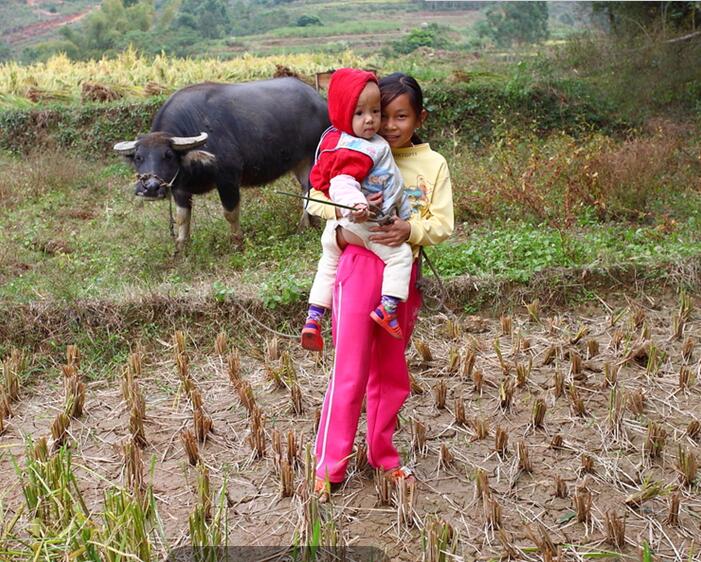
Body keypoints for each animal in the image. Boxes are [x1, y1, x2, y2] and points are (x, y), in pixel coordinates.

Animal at [115, 76, 330, 252]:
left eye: (168, 155)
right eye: (138, 157)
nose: (150, 188)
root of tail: (318, 100)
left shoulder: (228, 179)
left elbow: (230, 213)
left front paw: (237, 242)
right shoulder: (180, 188)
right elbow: (182, 217)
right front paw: (182, 246)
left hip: (313, 156)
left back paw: (304, 226)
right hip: (299, 162)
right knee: (306, 190)